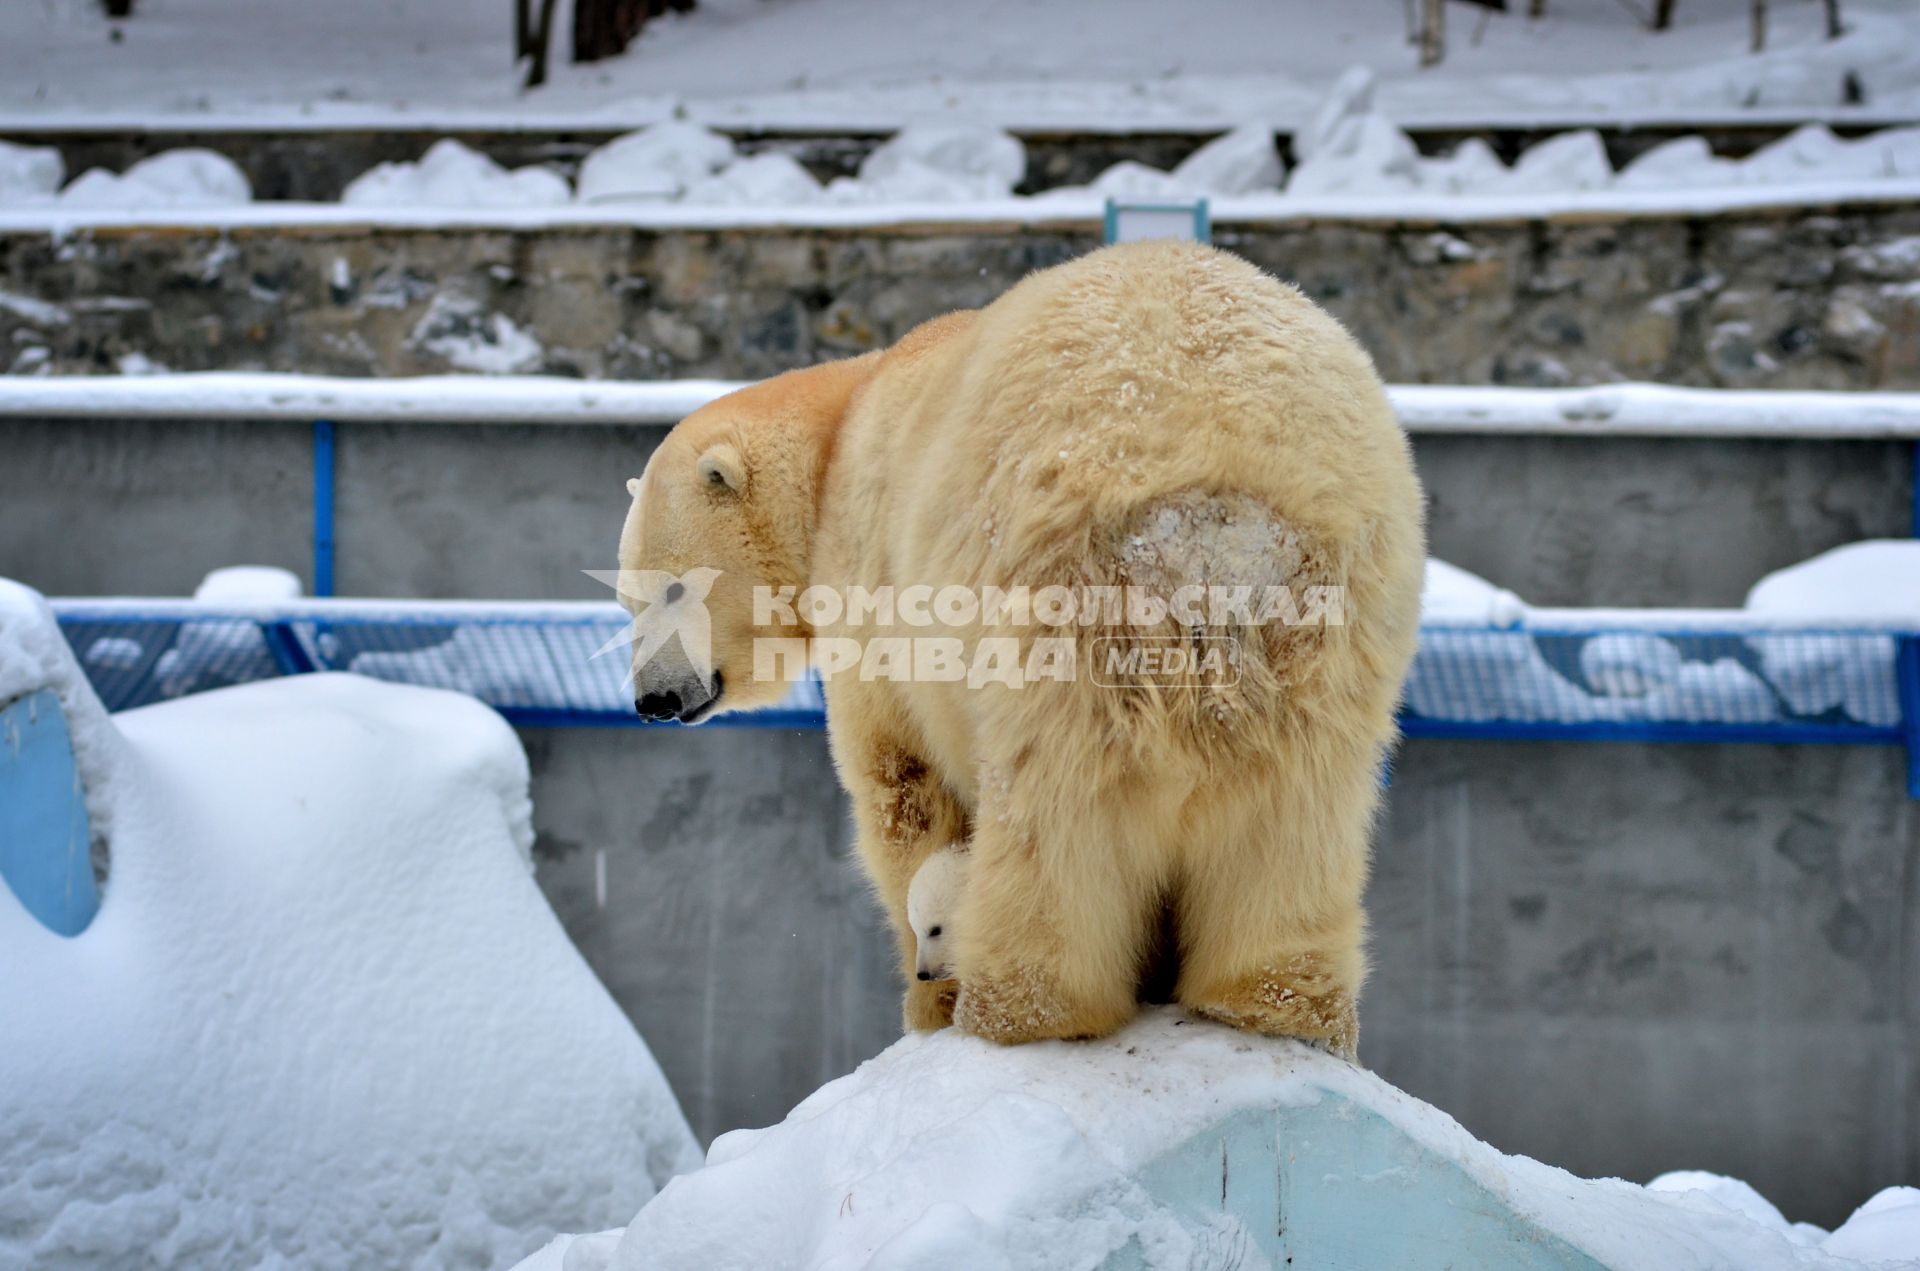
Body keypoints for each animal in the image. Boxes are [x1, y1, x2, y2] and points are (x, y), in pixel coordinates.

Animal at [614, 243, 1428, 1059]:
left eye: (670, 588)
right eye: (626, 597)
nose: (653, 699)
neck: (841, 432)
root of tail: (1214, 517)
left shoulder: (872, 592)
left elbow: (899, 788)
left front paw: (930, 991)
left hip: (1055, 596)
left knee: (1054, 809)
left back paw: (1017, 1008)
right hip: (1332, 618)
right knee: (1299, 810)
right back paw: (1279, 1004)